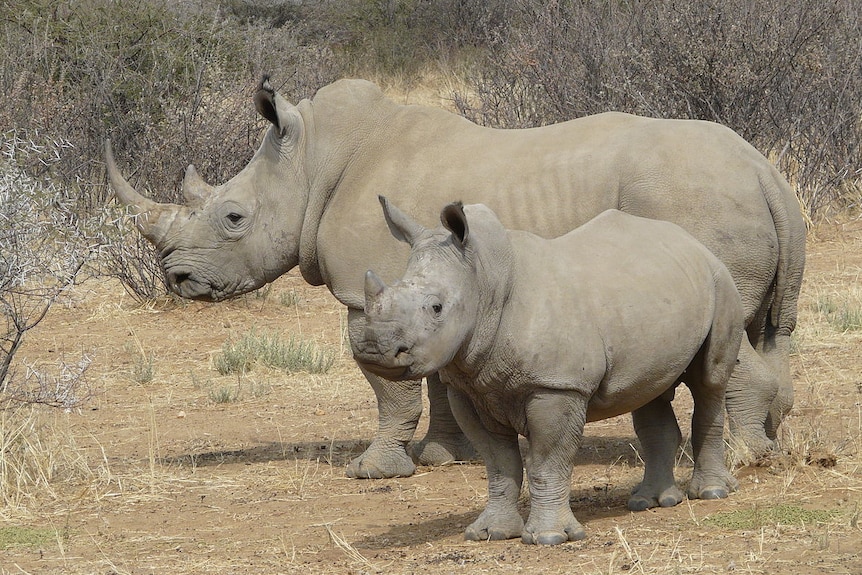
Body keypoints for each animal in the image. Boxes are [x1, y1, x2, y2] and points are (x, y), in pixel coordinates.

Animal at [354, 198, 744, 544]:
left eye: (436, 308)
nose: (373, 347)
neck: (485, 281)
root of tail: (693, 242)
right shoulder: (470, 388)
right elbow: (499, 464)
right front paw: (490, 533)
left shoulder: (557, 386)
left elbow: (547, 461)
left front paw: (549, 537)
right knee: (648, 390)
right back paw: (649, 501)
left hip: (721, 281)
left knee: (709, 382)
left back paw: (710, 493)